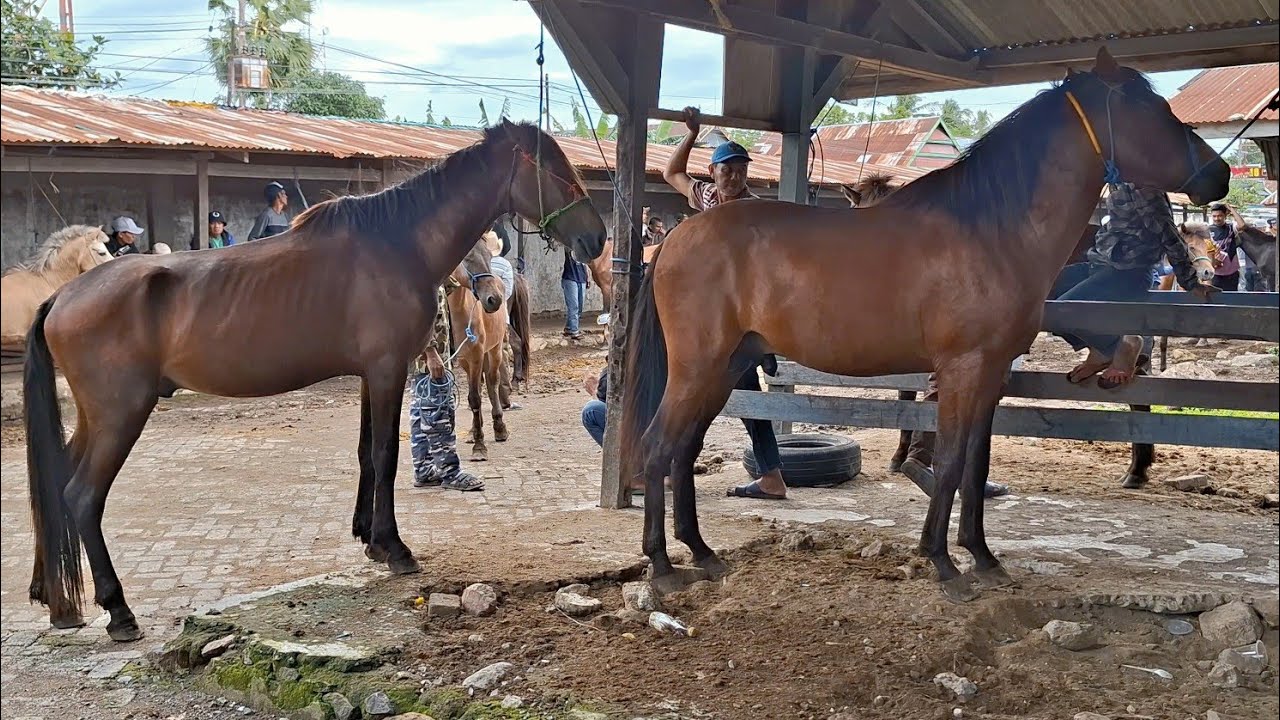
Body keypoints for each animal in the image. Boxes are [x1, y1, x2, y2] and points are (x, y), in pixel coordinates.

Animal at [448, 240, 515, 460]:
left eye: (488, 256)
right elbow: (472, 398)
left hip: (495, 351)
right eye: (467, 257)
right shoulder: (464, 360)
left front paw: (479, 446)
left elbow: (477, 397)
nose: (494, 299)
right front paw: (476, 437)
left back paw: (499, 427)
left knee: (493, 382)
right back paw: (472, 432)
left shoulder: (477, 356)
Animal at [619, 48, 1228, 601]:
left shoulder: (992, 375)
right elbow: (953, 461)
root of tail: (676, 236)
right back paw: (663, 566)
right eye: (1148, 108)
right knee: (658, 447)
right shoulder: (962, 369)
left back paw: (701, 553)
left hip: (727, 369)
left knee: (684, 451)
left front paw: (983, 557)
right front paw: (942, 563)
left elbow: (977, 465)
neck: (991, 229)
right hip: (698, 369)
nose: (1219, 174)